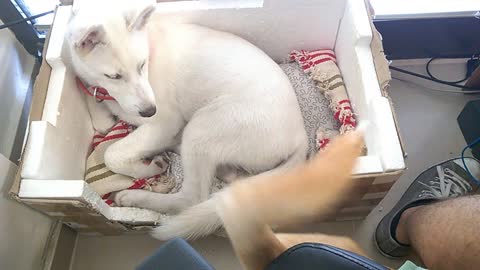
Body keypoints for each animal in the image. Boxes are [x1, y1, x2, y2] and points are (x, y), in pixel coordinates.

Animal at [66, 1, 308, 239]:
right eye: (113, 76)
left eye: (142, 64)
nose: (150, 111)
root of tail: (300, 136)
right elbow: (101, 120)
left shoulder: (164, 122)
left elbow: (111, 154)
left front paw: (145, 170)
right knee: (228, 177)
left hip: (202, 128)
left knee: (190, 199)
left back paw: (136, 196)